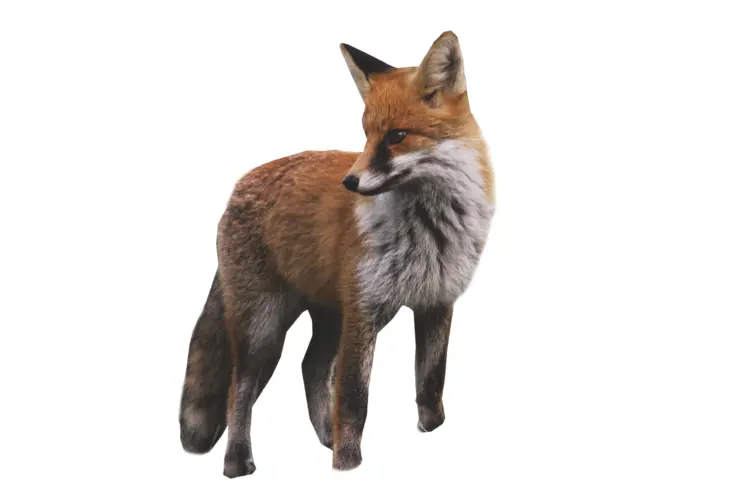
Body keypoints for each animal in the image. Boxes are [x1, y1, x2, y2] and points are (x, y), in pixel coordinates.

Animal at [178, 31, 496, 477]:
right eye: (365, 134)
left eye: (397, 136)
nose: (350, 182)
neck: (429, 228)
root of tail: (240, 183)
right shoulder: (364, 311)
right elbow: (354, 398)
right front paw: (347, 464)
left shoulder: (436, 301)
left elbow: (431, 382)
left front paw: (431, 433)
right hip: (263, 327)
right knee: (239, 387)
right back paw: (238, 464)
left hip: (329, 316)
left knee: (310, 366)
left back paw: (325, 438)